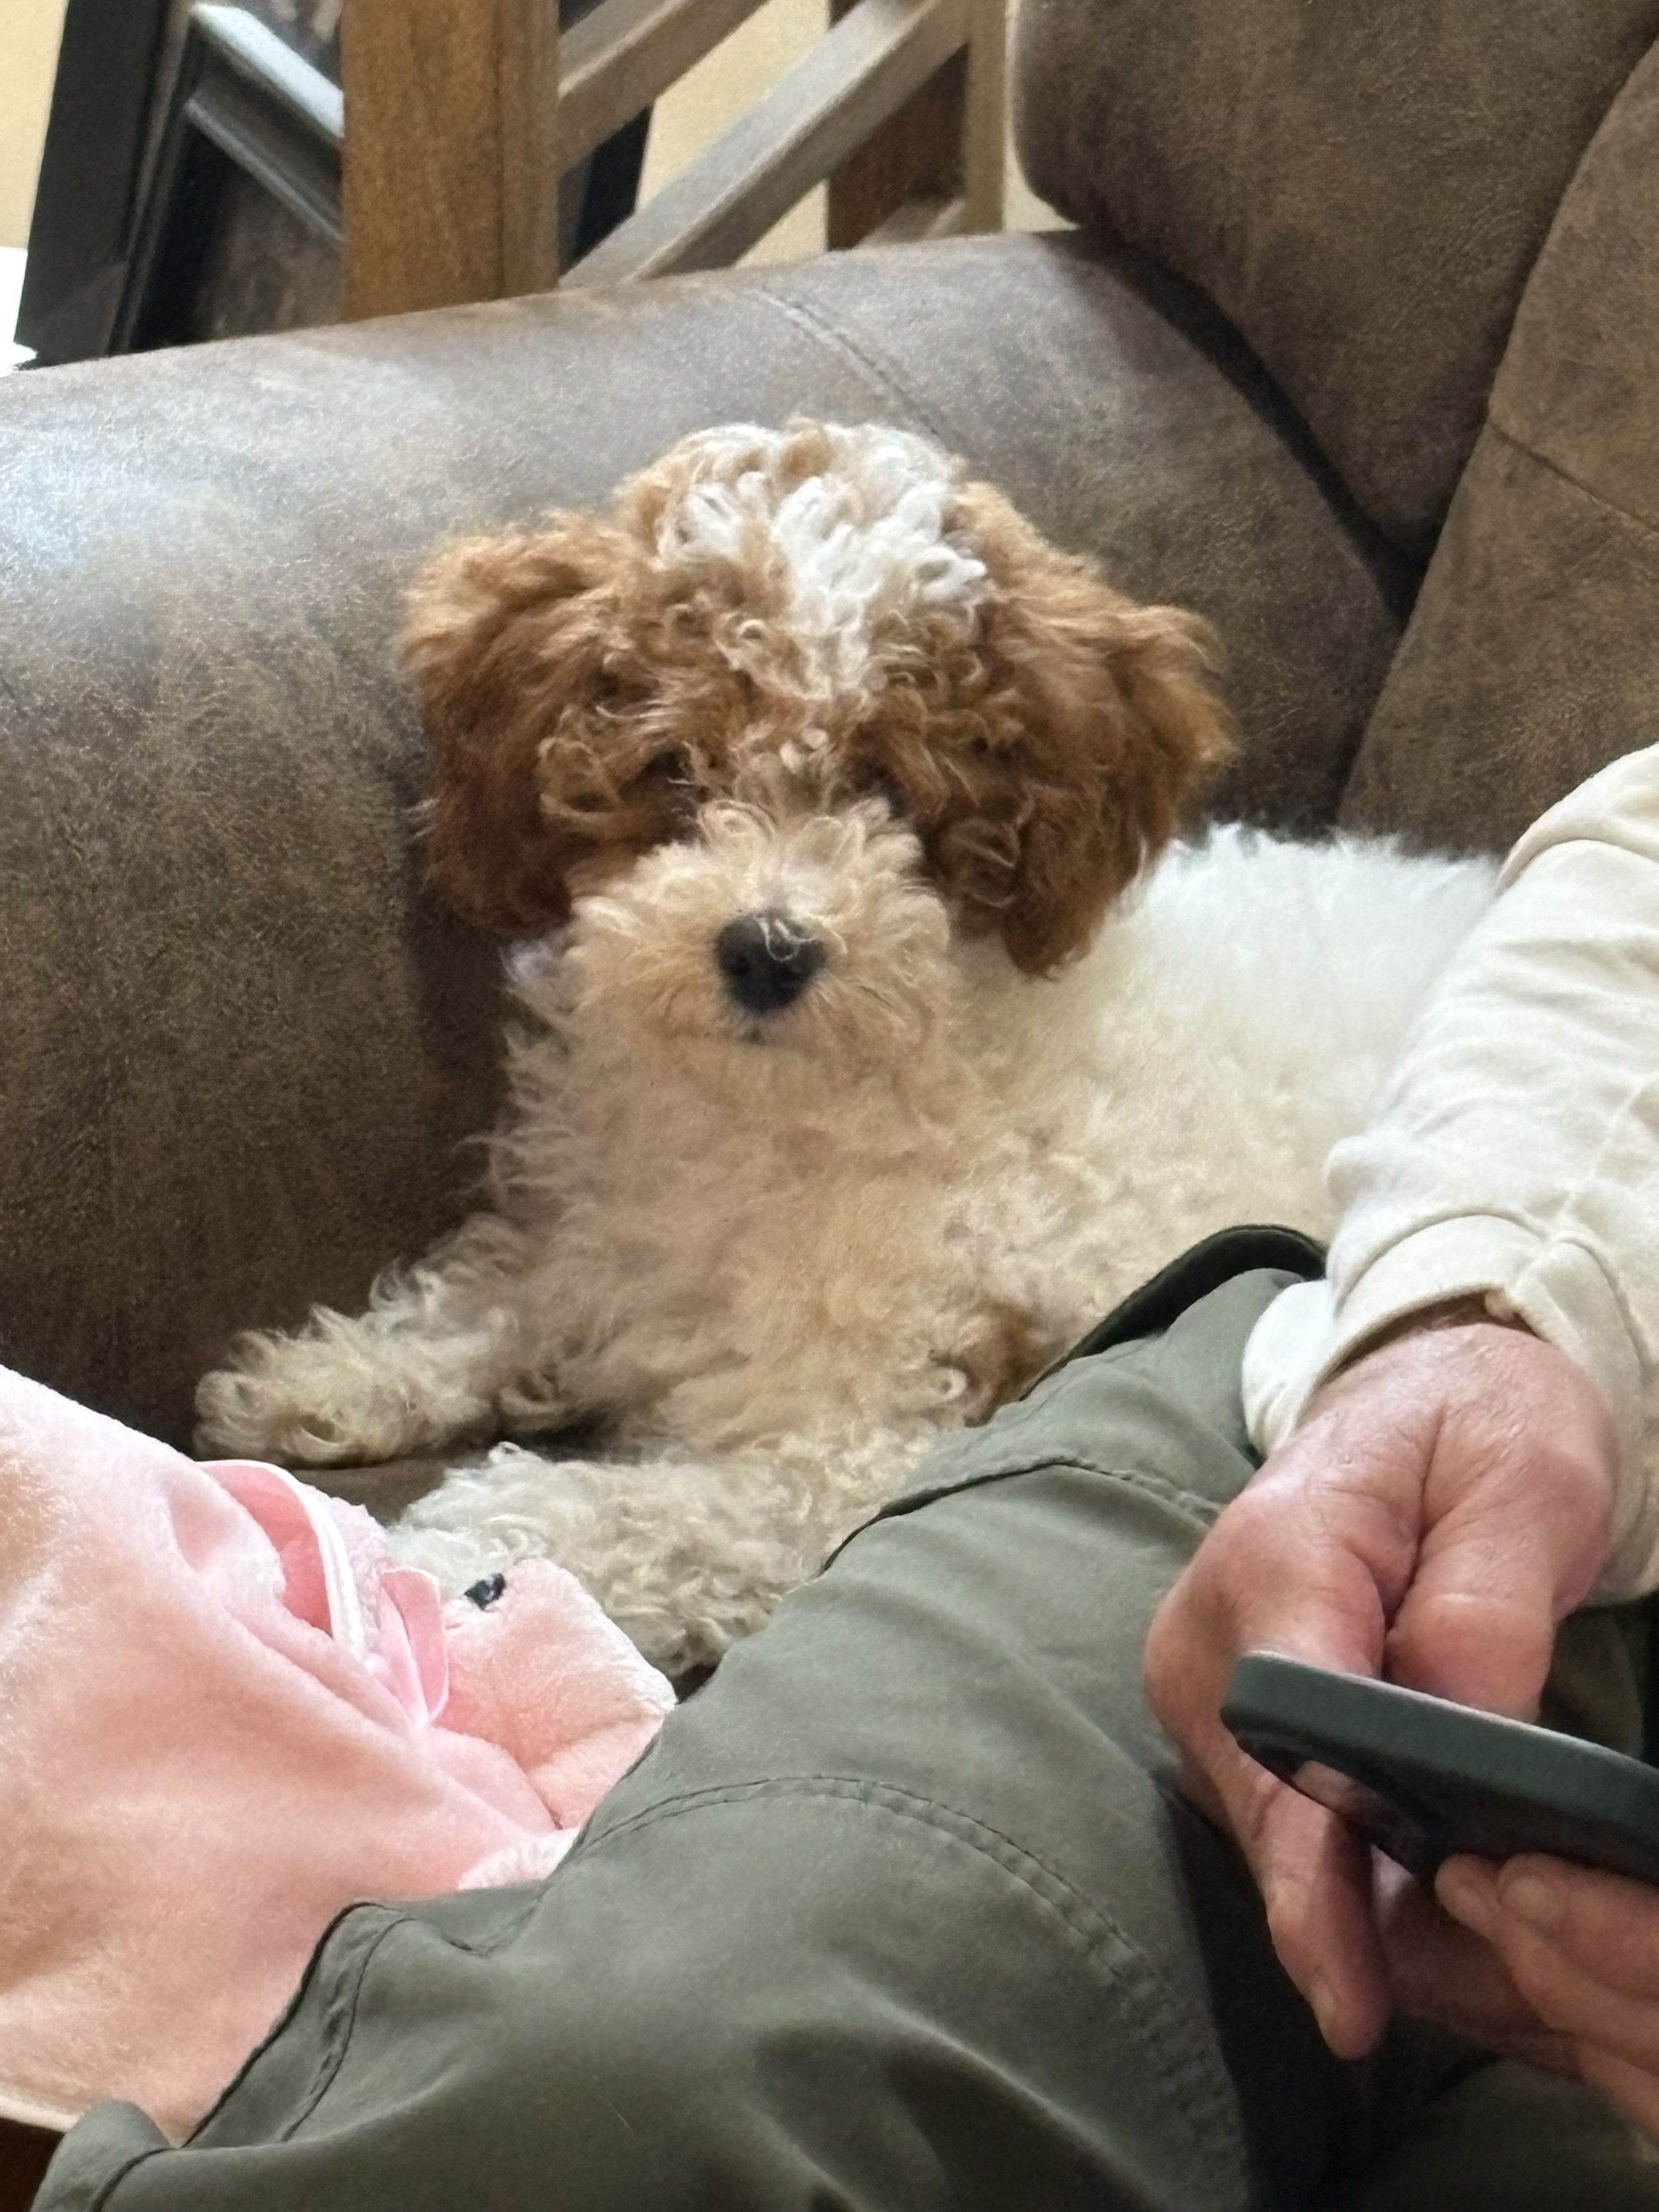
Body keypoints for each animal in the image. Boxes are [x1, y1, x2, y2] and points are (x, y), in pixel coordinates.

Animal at [196, 420, 1497, 1676]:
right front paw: (327, 1375)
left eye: (893, 792)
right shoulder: (617, 1237)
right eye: (677, 767)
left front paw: (446, 1547)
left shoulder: (857, 1449)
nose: (767, 950)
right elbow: (503, 1291)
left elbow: (639, 1514)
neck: (781, 1104)